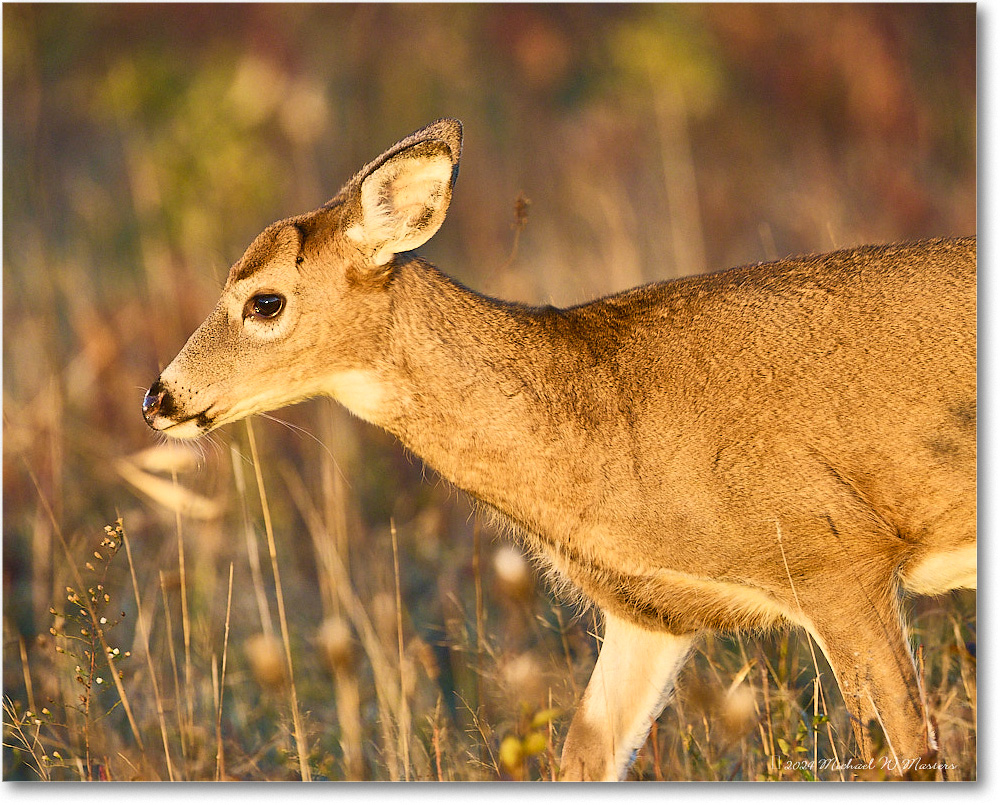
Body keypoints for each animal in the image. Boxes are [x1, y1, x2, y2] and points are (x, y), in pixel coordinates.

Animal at [143, 118, 976, 780]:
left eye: (265, 301)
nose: (159, 399)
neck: (603, 419)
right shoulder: (653, 615)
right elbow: (583, 758)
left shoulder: (841, 559)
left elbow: (911, 752)